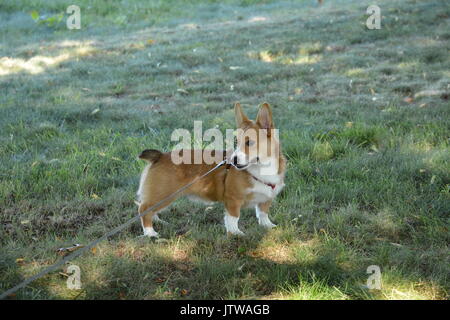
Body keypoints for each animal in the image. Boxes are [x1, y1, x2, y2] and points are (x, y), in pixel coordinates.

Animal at [135, 102, 286, 238]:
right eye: (236, 142)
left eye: (250, 142)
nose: (233, 160)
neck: (260, 169)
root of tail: (159, 156)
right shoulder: (233, 199)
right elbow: (233, 218)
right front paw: (235, 233)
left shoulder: (265, 199)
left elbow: (263, 213)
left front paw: (268, 226)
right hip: (163, 195)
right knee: (143, 209)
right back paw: (150, 233)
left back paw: (159, 222)